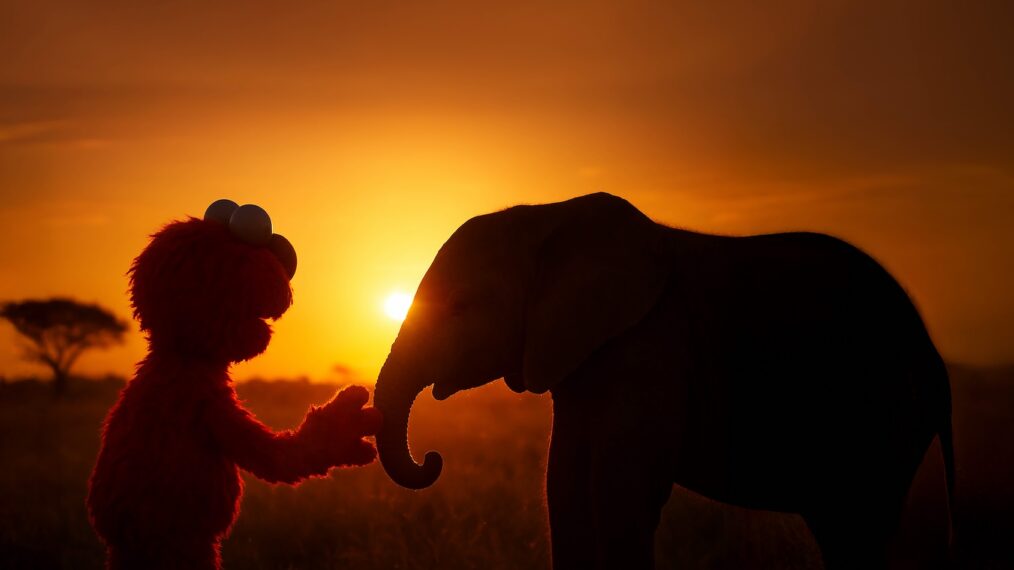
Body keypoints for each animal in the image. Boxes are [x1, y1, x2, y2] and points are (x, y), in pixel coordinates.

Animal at [373, 193, 954, 569]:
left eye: (459, 307)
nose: (433, 460)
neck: (548, 216)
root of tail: (935, 360)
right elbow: (565, 491)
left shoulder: (652, 342)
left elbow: (619, 495)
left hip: (885, 414)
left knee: (857, 528)